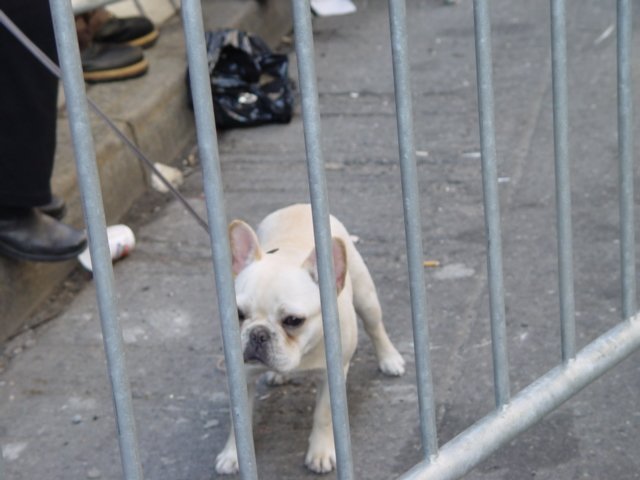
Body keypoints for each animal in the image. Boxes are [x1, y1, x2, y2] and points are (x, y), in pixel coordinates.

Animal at [215, 204, 405, 475]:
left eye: (293, 320)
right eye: (238, 314)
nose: (258, 334)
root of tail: (300, 206)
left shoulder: (331, 376)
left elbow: (324, 416)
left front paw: (321, 453)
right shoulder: (241, 377)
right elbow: (239, 420)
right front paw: (233, 454)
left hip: (365, 296)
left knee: (375, 327)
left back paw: (390, 359)